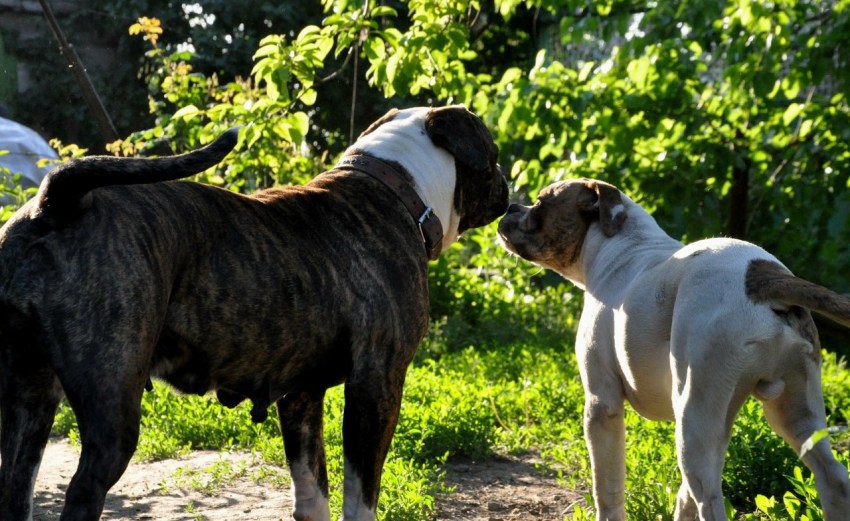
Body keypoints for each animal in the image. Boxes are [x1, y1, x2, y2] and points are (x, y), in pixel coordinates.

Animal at [0, 105, 504, 520]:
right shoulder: (377, 385)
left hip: (31, 402)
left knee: (16, 486)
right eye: (495, 151)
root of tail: (56, 203)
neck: (398, 189)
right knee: (84, 490)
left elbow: (312, 490)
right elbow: (361, 494)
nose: (507, 184)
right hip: (110, 412)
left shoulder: (301, 397)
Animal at [496, 179, 848, 520]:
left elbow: (607, 488)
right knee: (833, 479)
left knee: (709, 497)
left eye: (541, 203)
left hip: (693, 419)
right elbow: (683, 495)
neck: (622, 244)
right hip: (794, 414)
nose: (511, 206)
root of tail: (762, 279)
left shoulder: (602, 404)